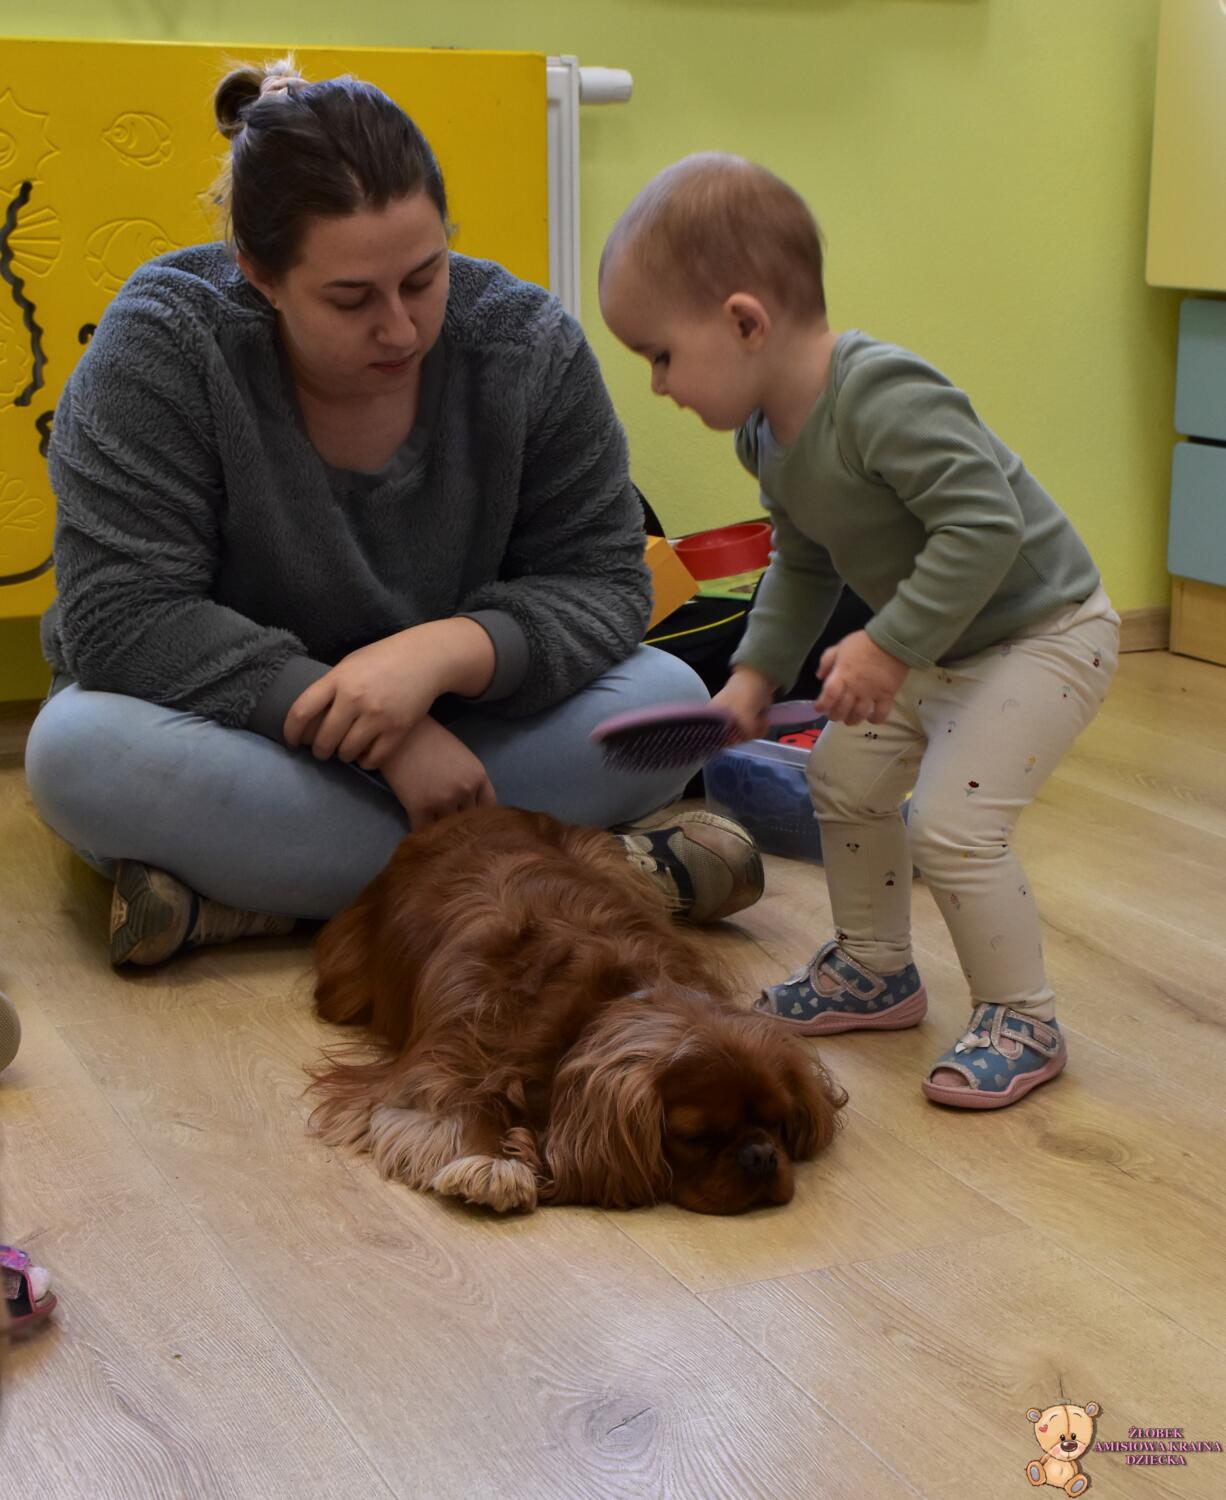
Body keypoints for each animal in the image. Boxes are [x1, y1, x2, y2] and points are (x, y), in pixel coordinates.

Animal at [308, 806, 845, 1214]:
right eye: (694, 1137)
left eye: (779, 1122)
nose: (761, 1156)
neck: (603, 1001)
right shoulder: (440, 1059)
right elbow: (460, 1103)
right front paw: (492, 1164)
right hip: (345, 982)